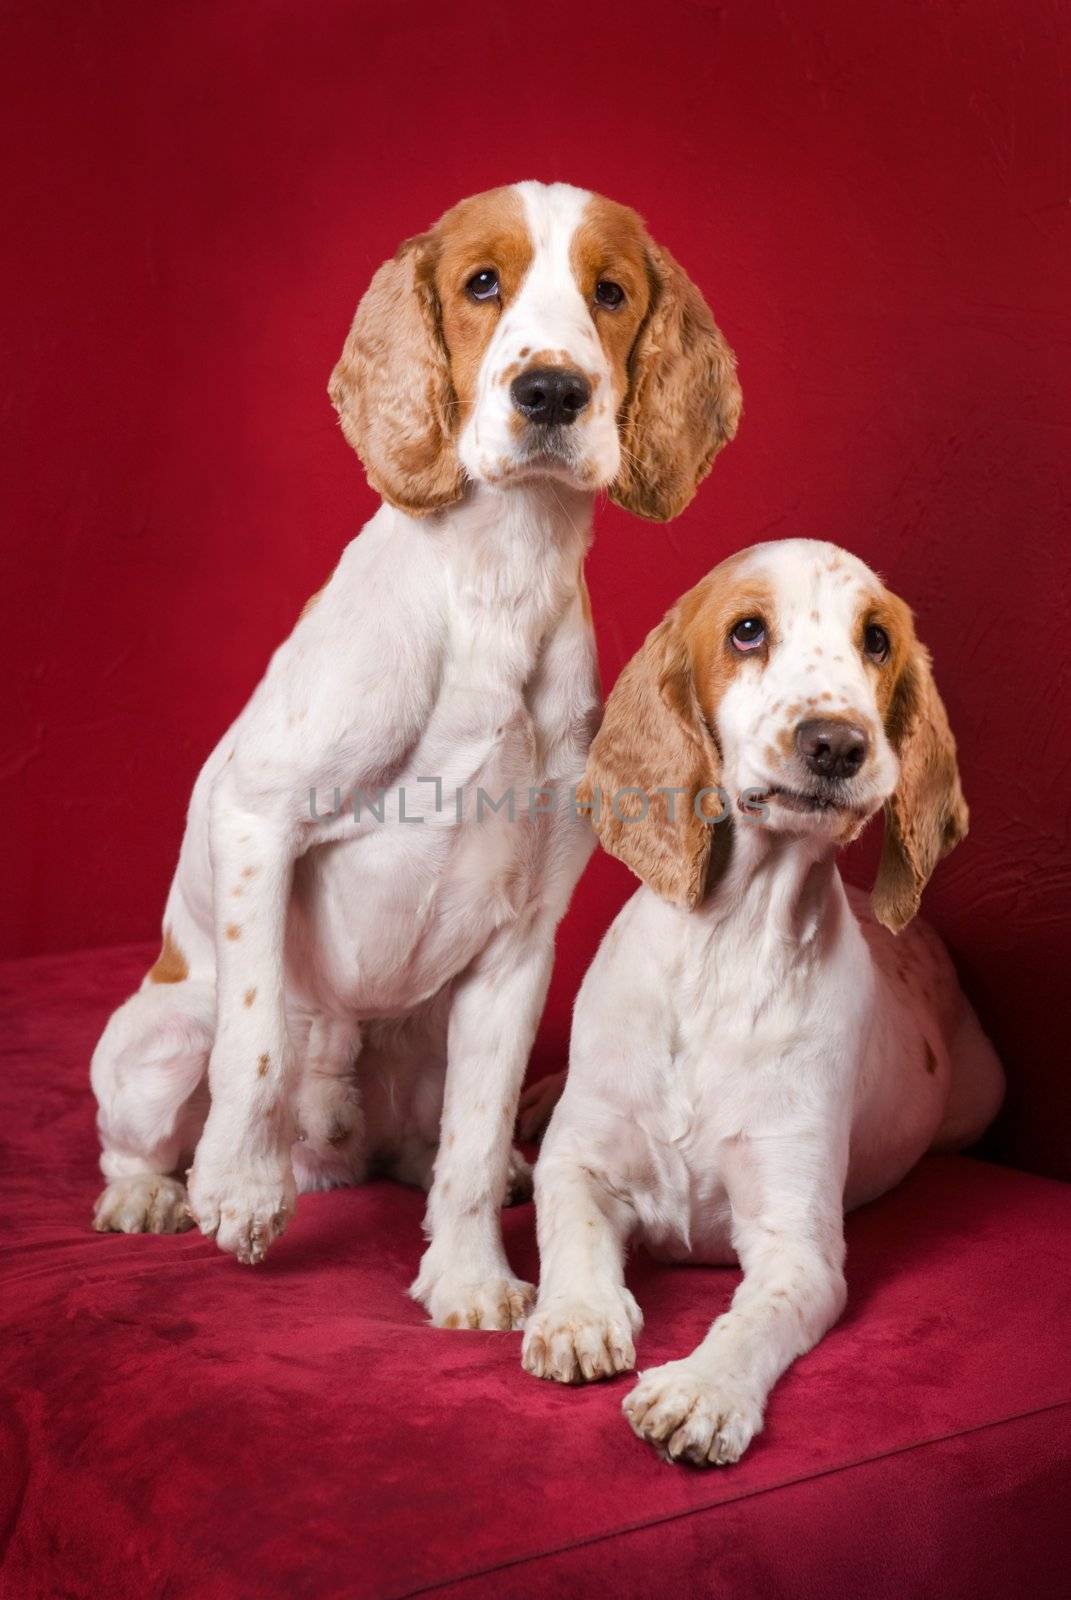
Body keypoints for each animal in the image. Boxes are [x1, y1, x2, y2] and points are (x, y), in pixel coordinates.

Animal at [89, 181, 742, 1331]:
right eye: (481, 283)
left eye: (611, 293)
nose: (552, 390)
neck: (495, 585)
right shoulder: (259, 818)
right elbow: (257, 1038)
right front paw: (239, 1186)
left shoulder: (522, 939)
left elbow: (474, 1141)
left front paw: (472, 1277)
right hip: (158, 1036)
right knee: (138, 1123)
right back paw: (149, 1192)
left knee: (430, 1149)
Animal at [518, 534, 1005, 1452]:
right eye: (747, 631)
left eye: (875, 641)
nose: (837, 743)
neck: (731, 945)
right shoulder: (580, 1161)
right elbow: (571, 1231)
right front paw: (575, 1317)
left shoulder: (797, 1243)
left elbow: (756, 1316)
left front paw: (702, 1391)